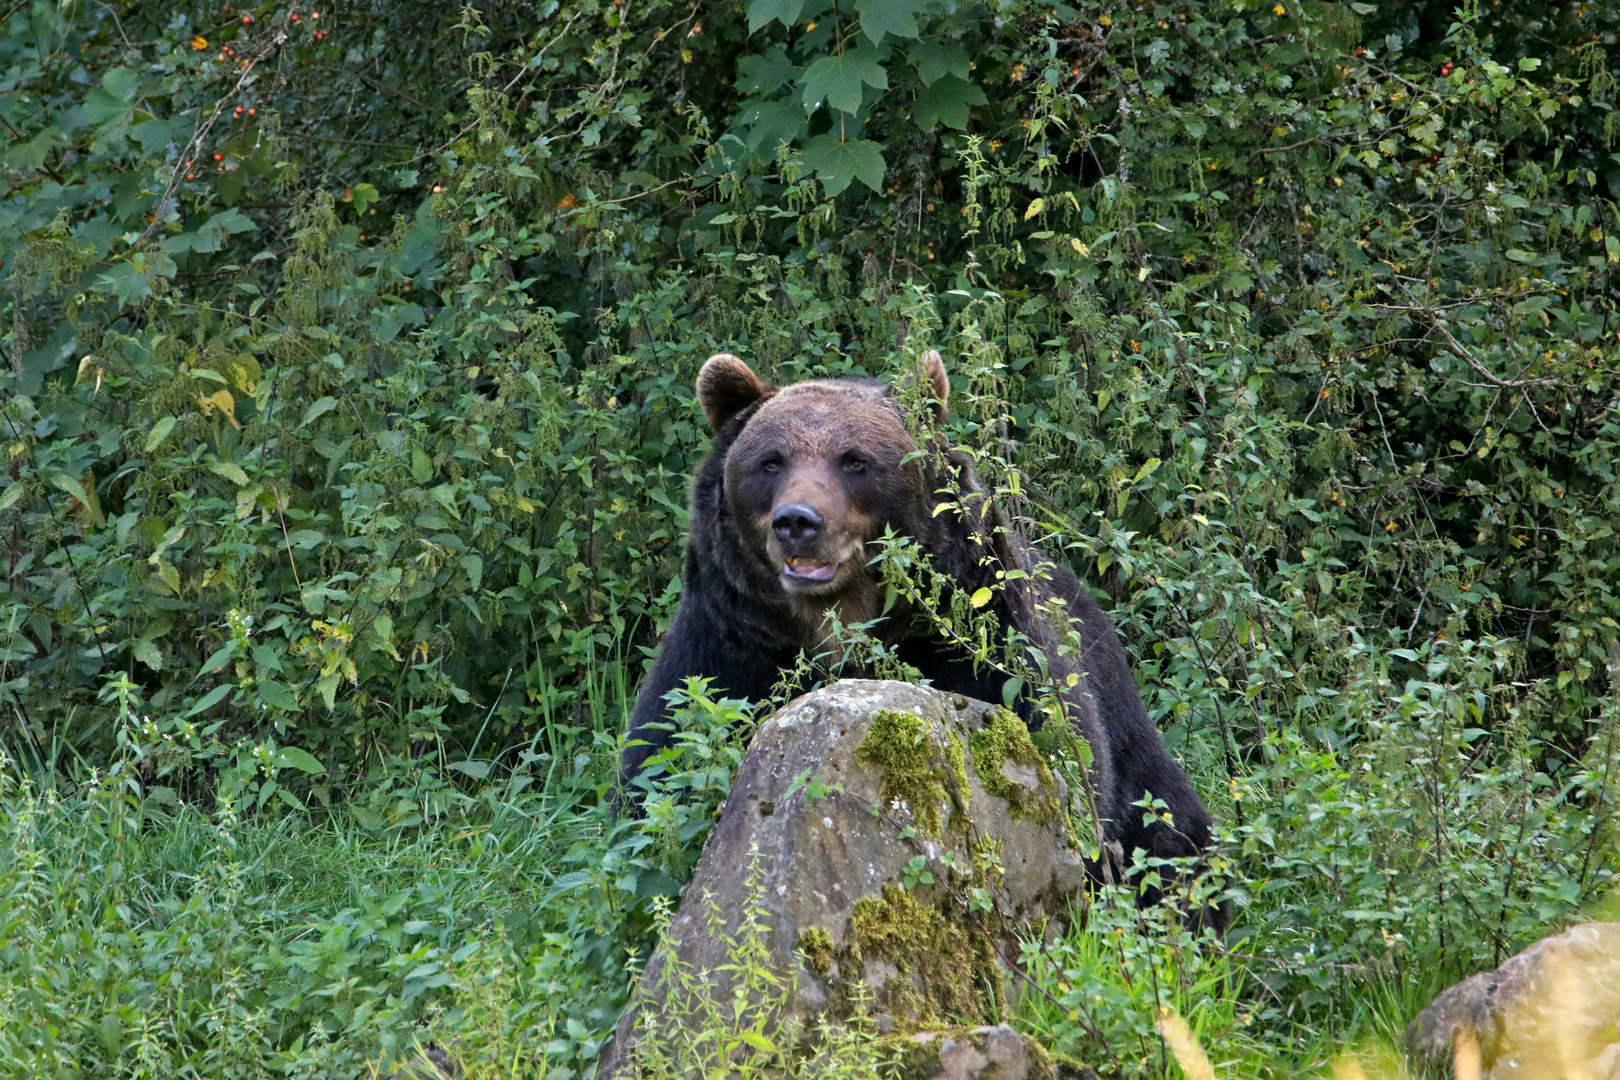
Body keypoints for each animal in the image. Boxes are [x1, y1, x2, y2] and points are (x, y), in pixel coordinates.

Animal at [625, 352, 1218, 913]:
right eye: (770, 461)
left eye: (855, 460)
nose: (798, 521)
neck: (839, 622)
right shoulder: (728, 649)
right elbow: (656, 770)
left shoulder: (984, 650)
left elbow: (1062, 773)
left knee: (1169, 835)